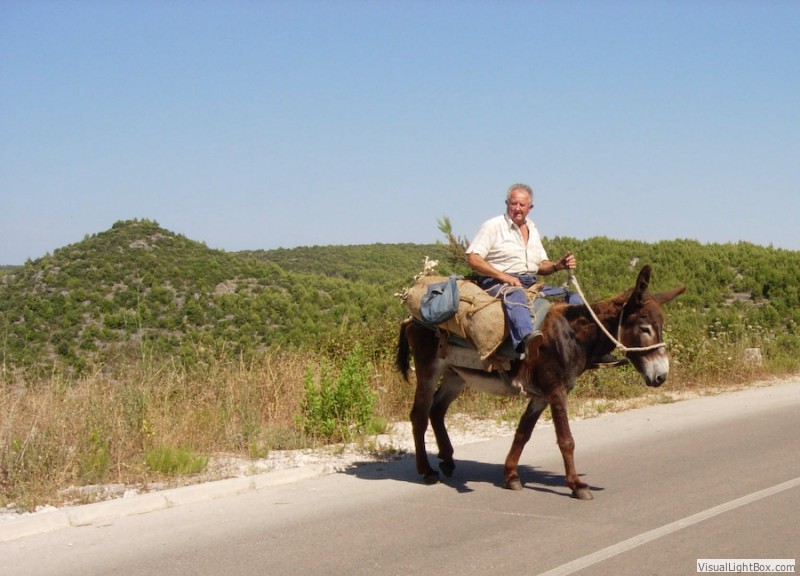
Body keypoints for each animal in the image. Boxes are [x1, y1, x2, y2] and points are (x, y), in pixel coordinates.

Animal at [395, 265, 685, 500]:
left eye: (660, 327)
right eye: (644, 328)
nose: (661, 376)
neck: (571, 337)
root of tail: (412, 319)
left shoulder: (540, 395)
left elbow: (523, 433)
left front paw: (511, 476)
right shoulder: (556, 391)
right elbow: (566, 440)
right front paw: (577, 485)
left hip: (456, 374)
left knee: (437, 410)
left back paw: (447, 460)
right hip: (428, 369)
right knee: (419, 415)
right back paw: (427, 470)